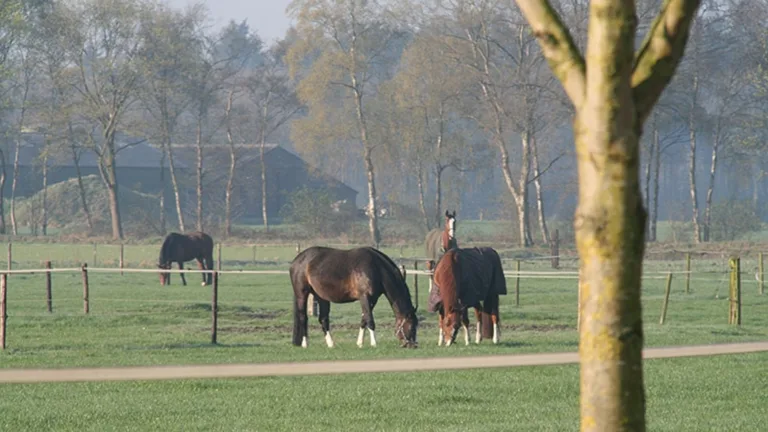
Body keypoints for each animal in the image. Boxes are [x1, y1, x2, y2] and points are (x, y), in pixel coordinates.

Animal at [290, 246, 420, 348]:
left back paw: (331, 344)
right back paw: (305, 343)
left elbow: (364, 319)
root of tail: (297, 260)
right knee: (303, 317)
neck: (376, 268)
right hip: (302, 294)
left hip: (321, 297)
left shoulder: (372, 300)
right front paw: (374, 343)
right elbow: (370, 320)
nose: (412, 345)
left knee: (323, 319)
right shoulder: (365, 297)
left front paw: (360, 343)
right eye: (412, 327)